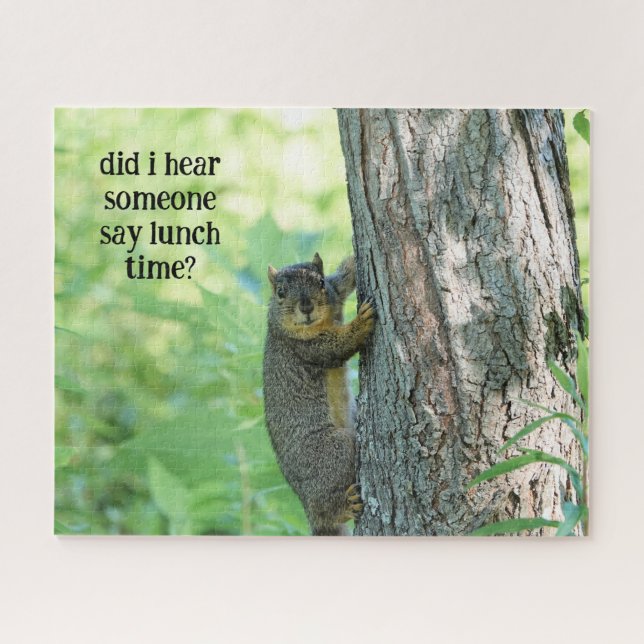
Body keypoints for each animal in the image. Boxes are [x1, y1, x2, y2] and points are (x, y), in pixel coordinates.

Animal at [263, 252, 375, 535]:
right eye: (280, 292)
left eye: (321, 282)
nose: (306, 306)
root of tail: (310, 512)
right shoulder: (307, 347)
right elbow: (337, 346)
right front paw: (361, 322)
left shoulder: (336, 292)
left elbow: (346, 275)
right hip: (334, 449)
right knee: (329, 510)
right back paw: (346, 505)